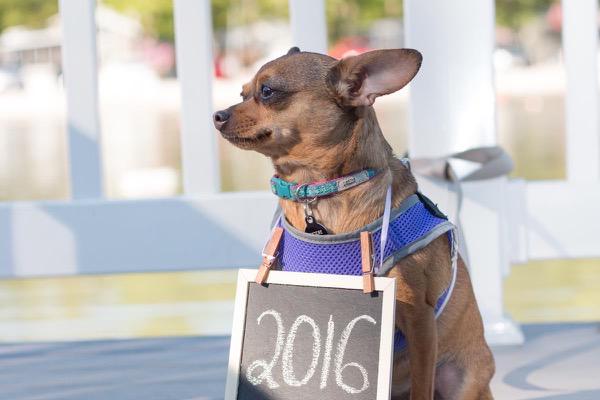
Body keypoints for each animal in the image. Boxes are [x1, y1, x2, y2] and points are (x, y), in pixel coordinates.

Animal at [213, 47, 494, 400]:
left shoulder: (419, 318)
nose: (218, 115)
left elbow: (421, 385)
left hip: (462, 376)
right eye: (242, 93)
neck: (317, 192)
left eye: (267, 92)